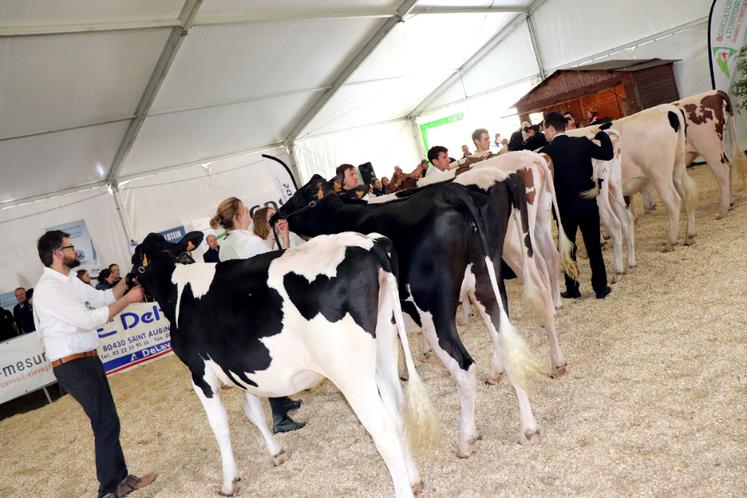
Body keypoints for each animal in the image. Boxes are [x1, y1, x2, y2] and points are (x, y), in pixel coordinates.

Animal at [129, 231, 438, 496]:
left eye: (136, 263)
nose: (129, 283)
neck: (177, 288)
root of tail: (367, 243)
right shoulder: (242, 370)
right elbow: (253, 412)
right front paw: (276, 453)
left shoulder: (199, 374)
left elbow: (220, 426)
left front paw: (229, 481)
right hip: (384, 349)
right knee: (398, 413)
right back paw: (414, 480)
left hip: (351, 374)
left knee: (384, 429)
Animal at [274, 169, 544, 458]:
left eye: (298, 196)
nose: (275, 216)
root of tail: (453, 193)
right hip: (486, 282)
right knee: (506, 344)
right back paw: (527, 427)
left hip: (433, 311)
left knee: (464, 366)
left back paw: (466, 440)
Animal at [568, 105, 700, 253]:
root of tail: (669, 108)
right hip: (678, 165)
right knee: (687, 193)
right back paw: (689, 236)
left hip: (659, 173)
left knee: (673, 201)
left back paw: (670, 242)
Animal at [676, 90, 747, 218]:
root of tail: (715, 92)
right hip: (721, 147)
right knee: (729, 165)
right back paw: (730, 203)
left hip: (710, 150)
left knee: (723, 171)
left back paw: (723, 210)